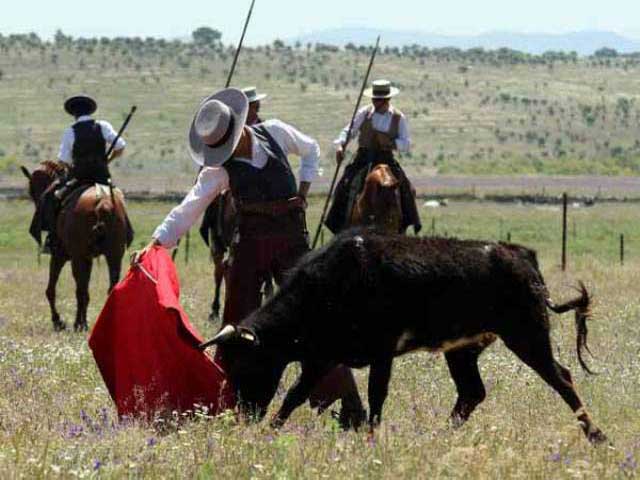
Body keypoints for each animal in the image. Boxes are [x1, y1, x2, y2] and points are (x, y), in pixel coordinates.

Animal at [21, 161, 131, 330]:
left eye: (31, 189)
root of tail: (103, 202)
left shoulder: (60, 256)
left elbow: (51, 290)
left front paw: (58, 321)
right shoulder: (88, 258)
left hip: (77, 258)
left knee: (80, 290)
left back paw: (79, 324)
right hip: (114, 256)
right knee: (110, 287)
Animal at [202, 231, 608, 444]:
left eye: (249, 364)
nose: (244, 414)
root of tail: (520, 255)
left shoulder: (381, 352)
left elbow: (376, 395)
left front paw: (371, 437)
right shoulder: (321, 357)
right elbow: (294, 396)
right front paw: (271, 431)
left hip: (526, 335)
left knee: (561, 378)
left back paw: (596, 435)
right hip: (463, 350)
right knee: (471, 392)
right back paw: (438, 437)